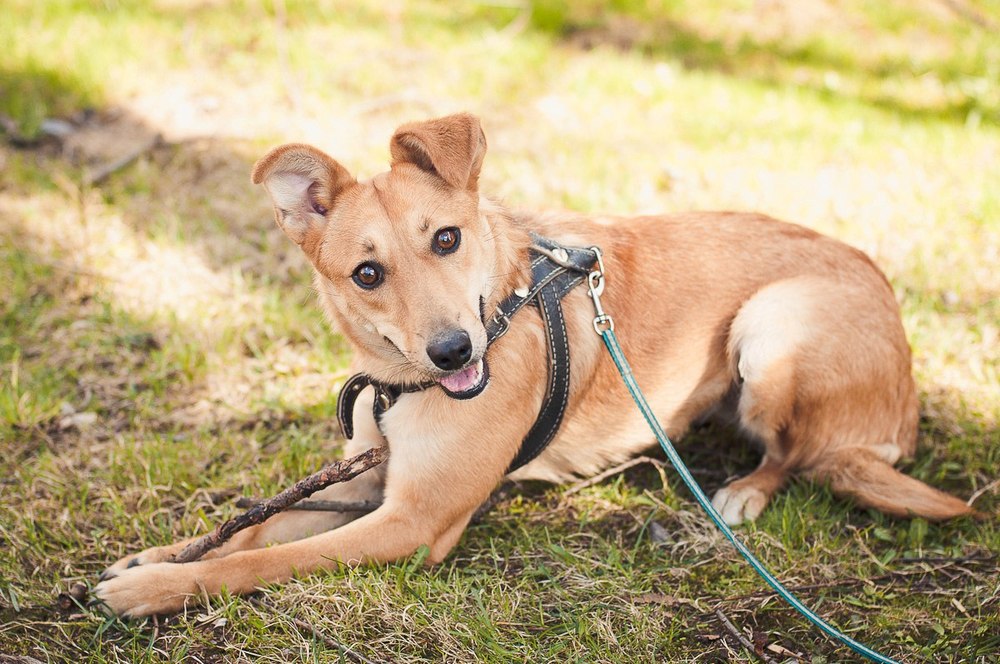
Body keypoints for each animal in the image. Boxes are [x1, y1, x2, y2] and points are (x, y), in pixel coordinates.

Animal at [97, 114, 972, 616]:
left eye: (446, 238)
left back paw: (745, 493)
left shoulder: (414, 523)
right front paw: (161, 555)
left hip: (773, 326)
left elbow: (268, 557)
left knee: (798, 454)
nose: (454, 351)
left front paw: (155, 588)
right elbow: (258, 527)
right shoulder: (368, 483)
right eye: (367, 273)